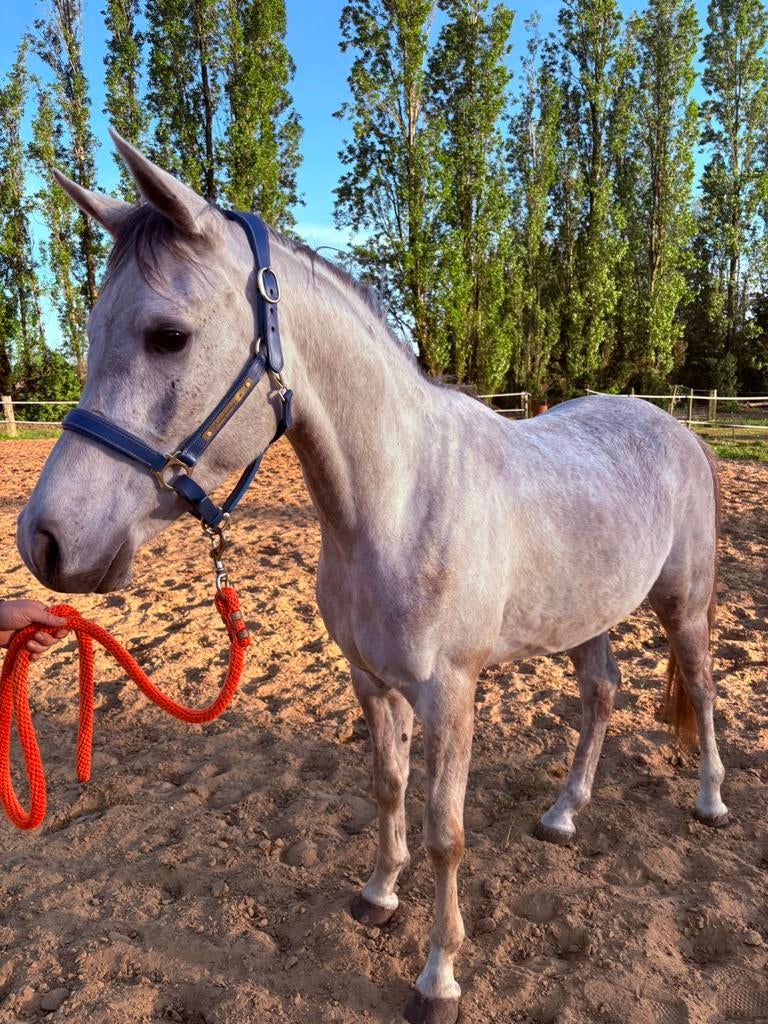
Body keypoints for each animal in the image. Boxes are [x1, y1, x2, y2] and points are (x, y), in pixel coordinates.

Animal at [17, 132, 727, 1024]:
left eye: (167, 336)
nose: (45, 540)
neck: (397, 500)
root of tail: (674, 426)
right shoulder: (369, 679)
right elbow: (388, 787)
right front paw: (380, 896)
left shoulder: (450, 694)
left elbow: (445, 831)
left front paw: (439, 977)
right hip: (585, 616)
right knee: (601, 695)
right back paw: (564, 814)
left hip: (685, 608)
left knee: (699, 690)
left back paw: (711, 803)